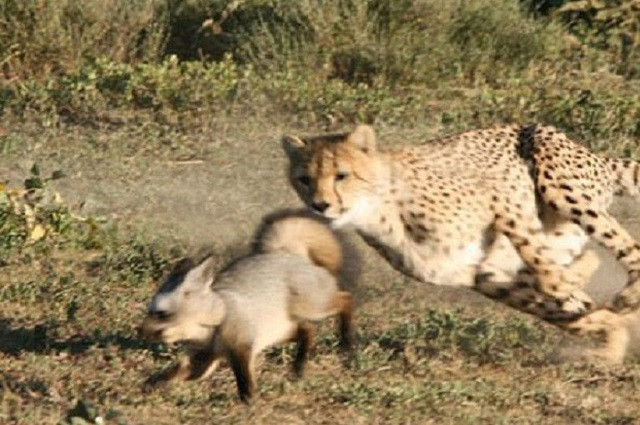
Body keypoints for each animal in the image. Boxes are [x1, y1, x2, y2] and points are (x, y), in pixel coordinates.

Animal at [280, 123, 640, 363]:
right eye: (304, 179)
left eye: (341, 175)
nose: (320, 206)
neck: (376, 208)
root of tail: (592, 153)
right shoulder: (484, 274)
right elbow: (565, 304)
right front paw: (608, 334)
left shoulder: (501, 201)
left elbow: (539, 260)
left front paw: (570, 286)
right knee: (584, 275)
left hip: (558, 184)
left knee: (628, 249)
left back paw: (625, 296)